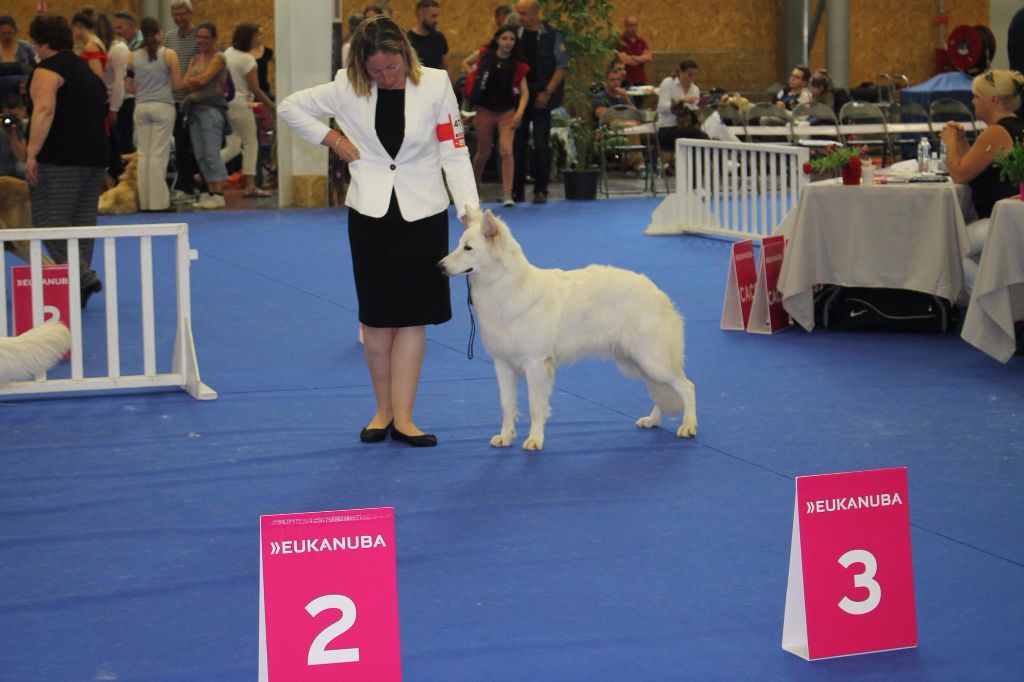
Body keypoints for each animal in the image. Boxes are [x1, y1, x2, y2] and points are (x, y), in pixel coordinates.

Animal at [440, 206, 696, 450]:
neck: (506, 286)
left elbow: (535, 406)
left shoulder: (536, 364)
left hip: (652, 361)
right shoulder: (503, 364)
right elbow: (507, 405)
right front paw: (506, 437)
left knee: (687, 387)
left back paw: (689, 425)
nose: (439, 266)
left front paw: (535, 439)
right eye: (459, 245)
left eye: (468, 248)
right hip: (636, 363)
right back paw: (653, 420)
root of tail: (658, 292)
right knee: (662, 390)